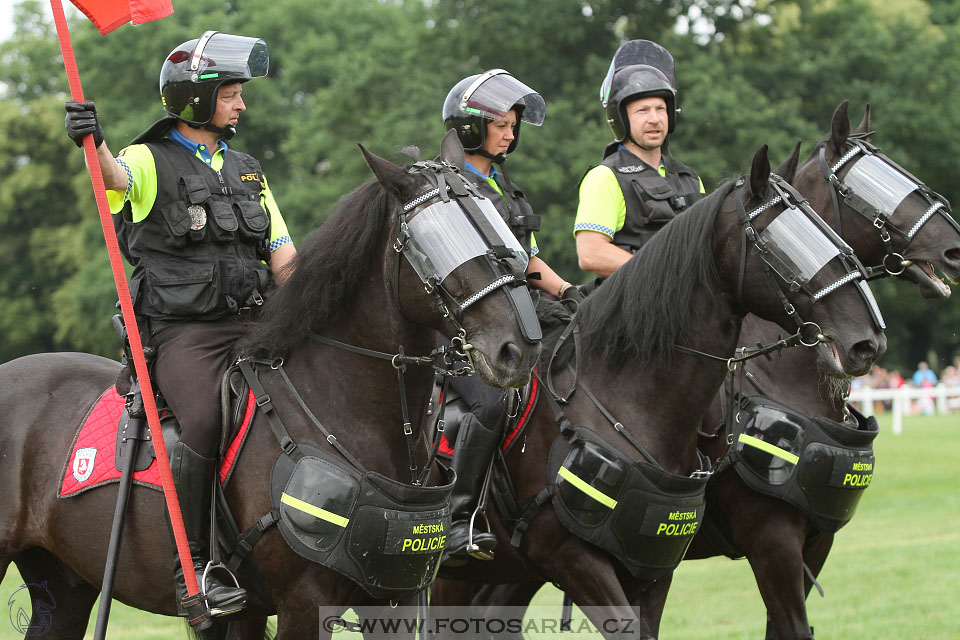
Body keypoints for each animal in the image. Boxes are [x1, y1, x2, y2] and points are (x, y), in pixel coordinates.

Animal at [0, 132, 540, 636]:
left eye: (496, 222)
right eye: (437, 239)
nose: (519, 348)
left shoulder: (398, 597)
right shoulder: (303, 603)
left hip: (65, 587)